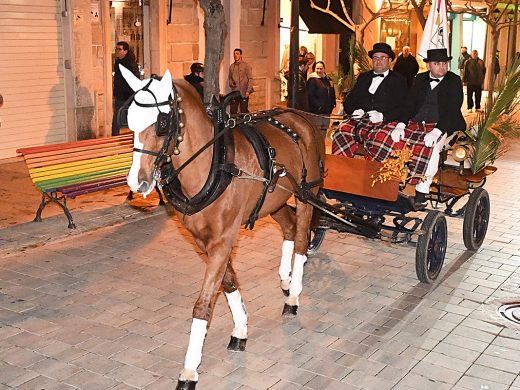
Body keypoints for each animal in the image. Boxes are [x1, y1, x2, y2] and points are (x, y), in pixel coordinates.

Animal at [122, 65, 324, 388]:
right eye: (129, 122)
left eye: (161, 124)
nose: (136, 182)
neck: (213, 164)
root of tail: (299, 115)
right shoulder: (204, 241)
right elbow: (228, 283)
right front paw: (240, 328)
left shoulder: (223, 239)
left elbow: (204, 302)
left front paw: (189, 370)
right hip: (273, 201)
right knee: (290, 228)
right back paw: (285, 277)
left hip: (307, 194)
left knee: (303, 239)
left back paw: (293, 295)